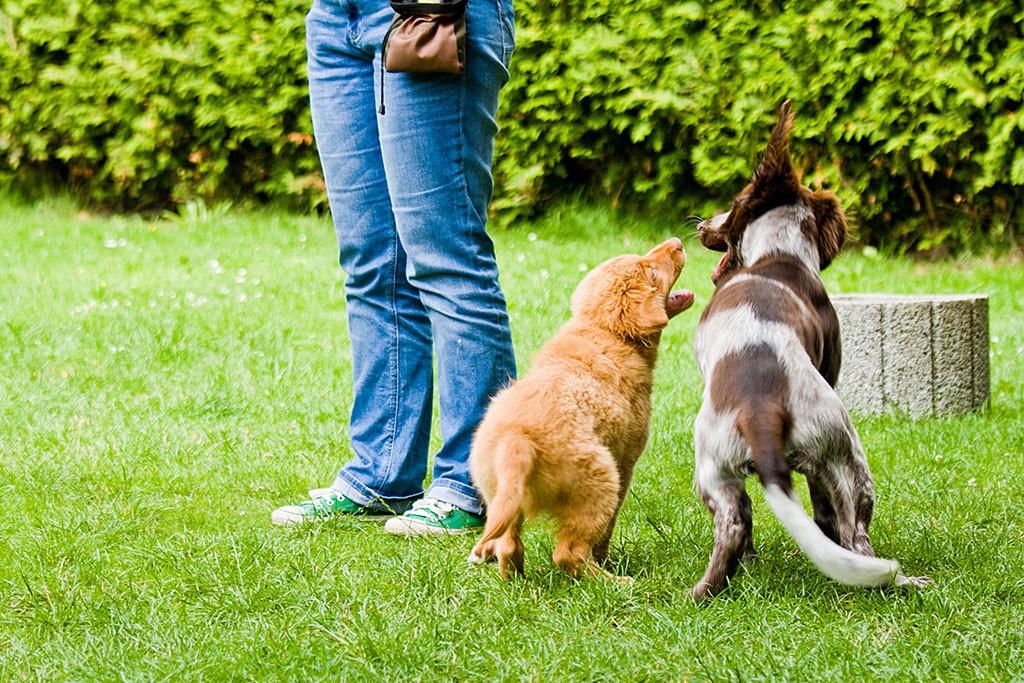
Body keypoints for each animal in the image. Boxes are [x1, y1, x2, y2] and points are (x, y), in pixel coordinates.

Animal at [466, 237, 692, 581]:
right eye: (650, 270)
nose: (677, 242)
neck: (605, 331)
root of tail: (516, 440)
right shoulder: (626, 461)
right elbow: (608, 528)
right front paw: (607, 558)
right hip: (601, 481)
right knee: (568, 553)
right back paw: (614, 581)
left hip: (498, 490)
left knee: (508, 544)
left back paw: (516, 579)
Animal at [688, 100, 929, 598]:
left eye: (732, 203)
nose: (701, 224)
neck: (779, 255)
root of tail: (760, 407)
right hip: (844, 456)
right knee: (855, 536)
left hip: (713, 467)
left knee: (734, 524)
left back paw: (705, 591)